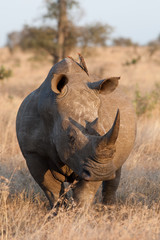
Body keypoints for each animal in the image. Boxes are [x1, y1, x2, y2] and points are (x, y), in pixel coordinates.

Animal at [15, 54, 136, 208]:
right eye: (70, 137)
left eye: (103, 129)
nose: (102, 173)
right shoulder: (33, 153)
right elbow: (52, 189)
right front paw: (58, 211)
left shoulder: (92, 162)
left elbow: (84, 192)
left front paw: (79, 212)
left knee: (115, 172)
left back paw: (109, 209)